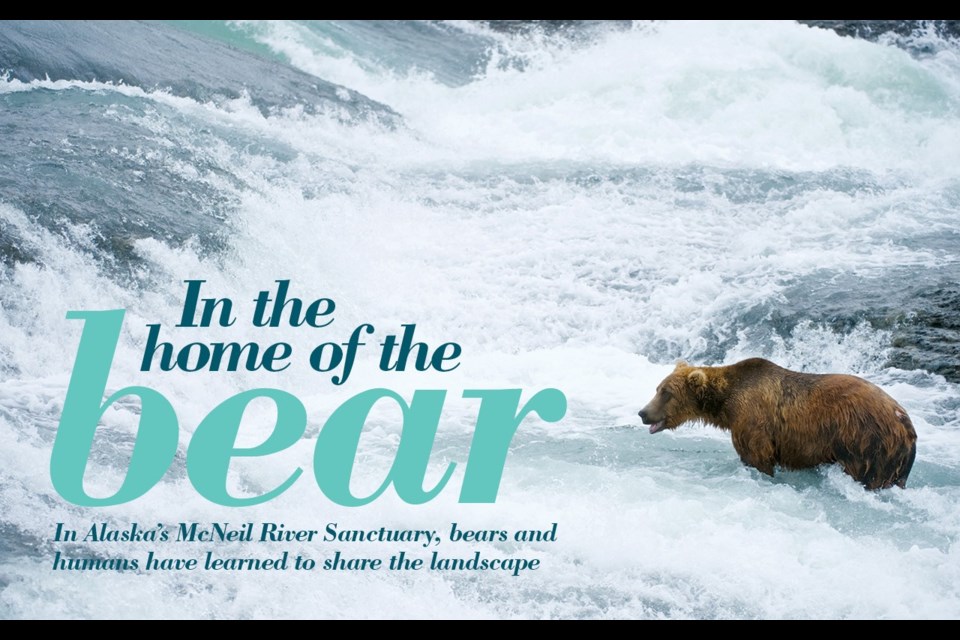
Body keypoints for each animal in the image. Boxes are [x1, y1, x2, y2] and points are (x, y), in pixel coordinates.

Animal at [640, 358, 920, 488]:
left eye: (666, 393)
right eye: (657, 388)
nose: (643, 412)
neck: (727, 404)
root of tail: (904, 419)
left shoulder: (753, 422)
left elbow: (757, 458)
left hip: (866, 442)